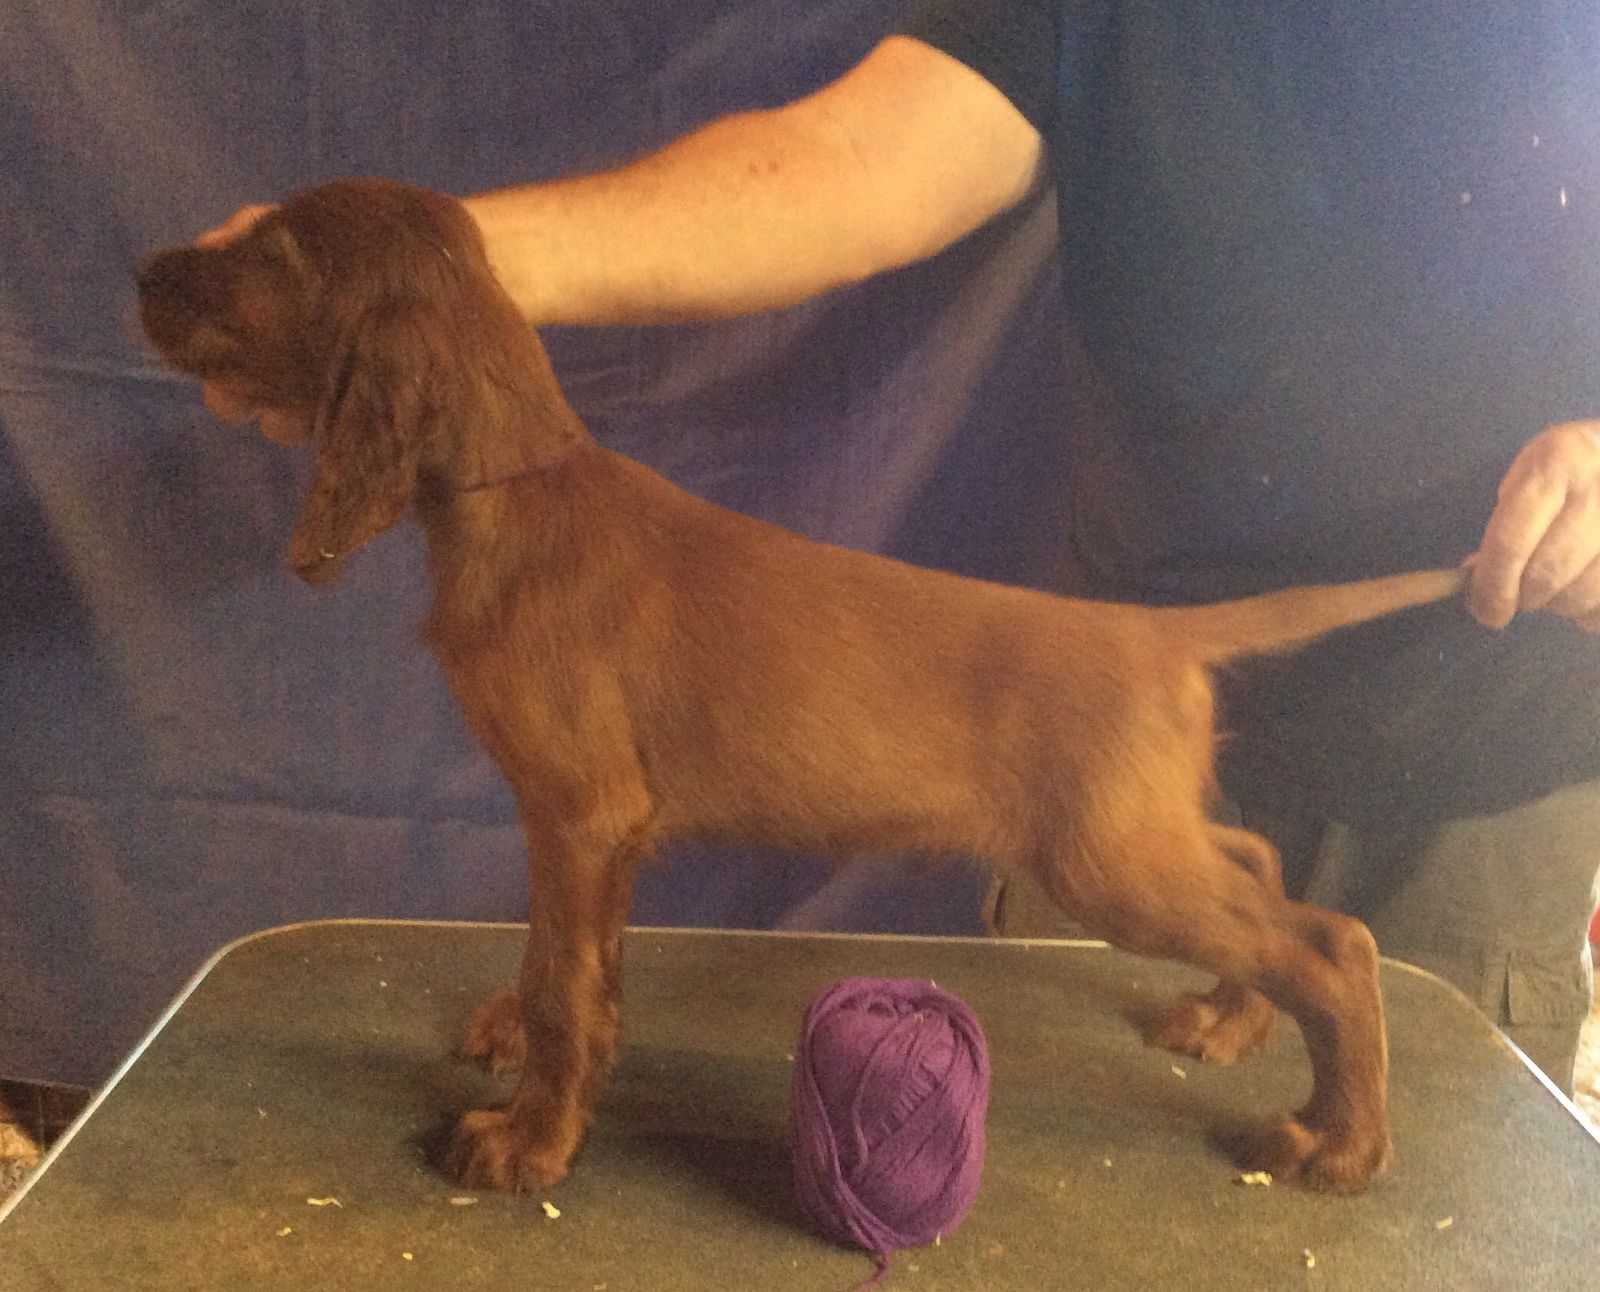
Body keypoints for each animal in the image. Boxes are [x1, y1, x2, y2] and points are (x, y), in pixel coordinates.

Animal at [137, 176, 1465, 1196]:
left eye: (271, 251)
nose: (143, 267)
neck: (512, 492)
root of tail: (1150, 632)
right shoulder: (596, 830)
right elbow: (569, 962)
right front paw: (531, 1052)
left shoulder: (580, 810)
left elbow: (565, 982)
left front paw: (530, 1139)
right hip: (1136, 835)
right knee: (1262, 869)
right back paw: (1230, 1017)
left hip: (1106, 861)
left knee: (1331, 941)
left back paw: (1340, 1141)